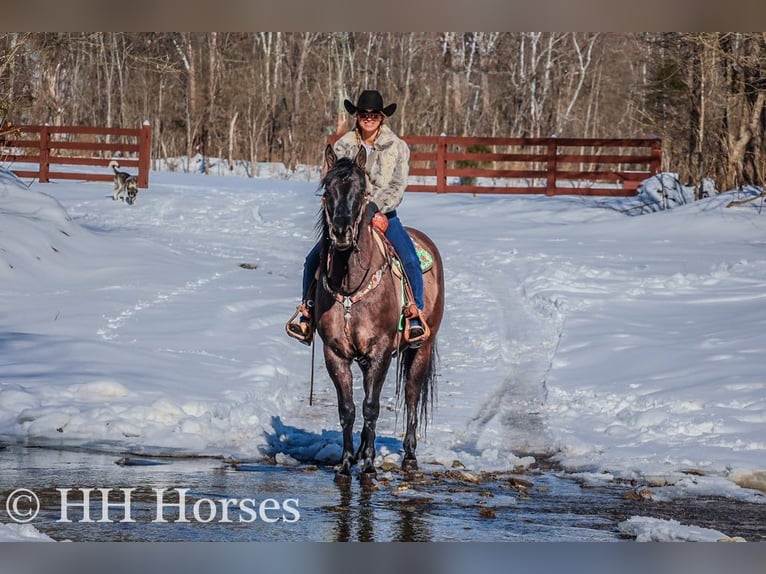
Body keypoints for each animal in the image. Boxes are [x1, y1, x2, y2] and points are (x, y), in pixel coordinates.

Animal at [312, 144, 444, 486]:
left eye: (362, 192)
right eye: (327, 190)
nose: (342, 233)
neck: (349, 285)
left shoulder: (381, 351)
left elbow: (371, 407)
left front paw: (369, 465)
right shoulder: (336, 353)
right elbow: (347, 409)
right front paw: (346, 463)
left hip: (421, 348)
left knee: (411, 395)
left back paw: (409, 456)